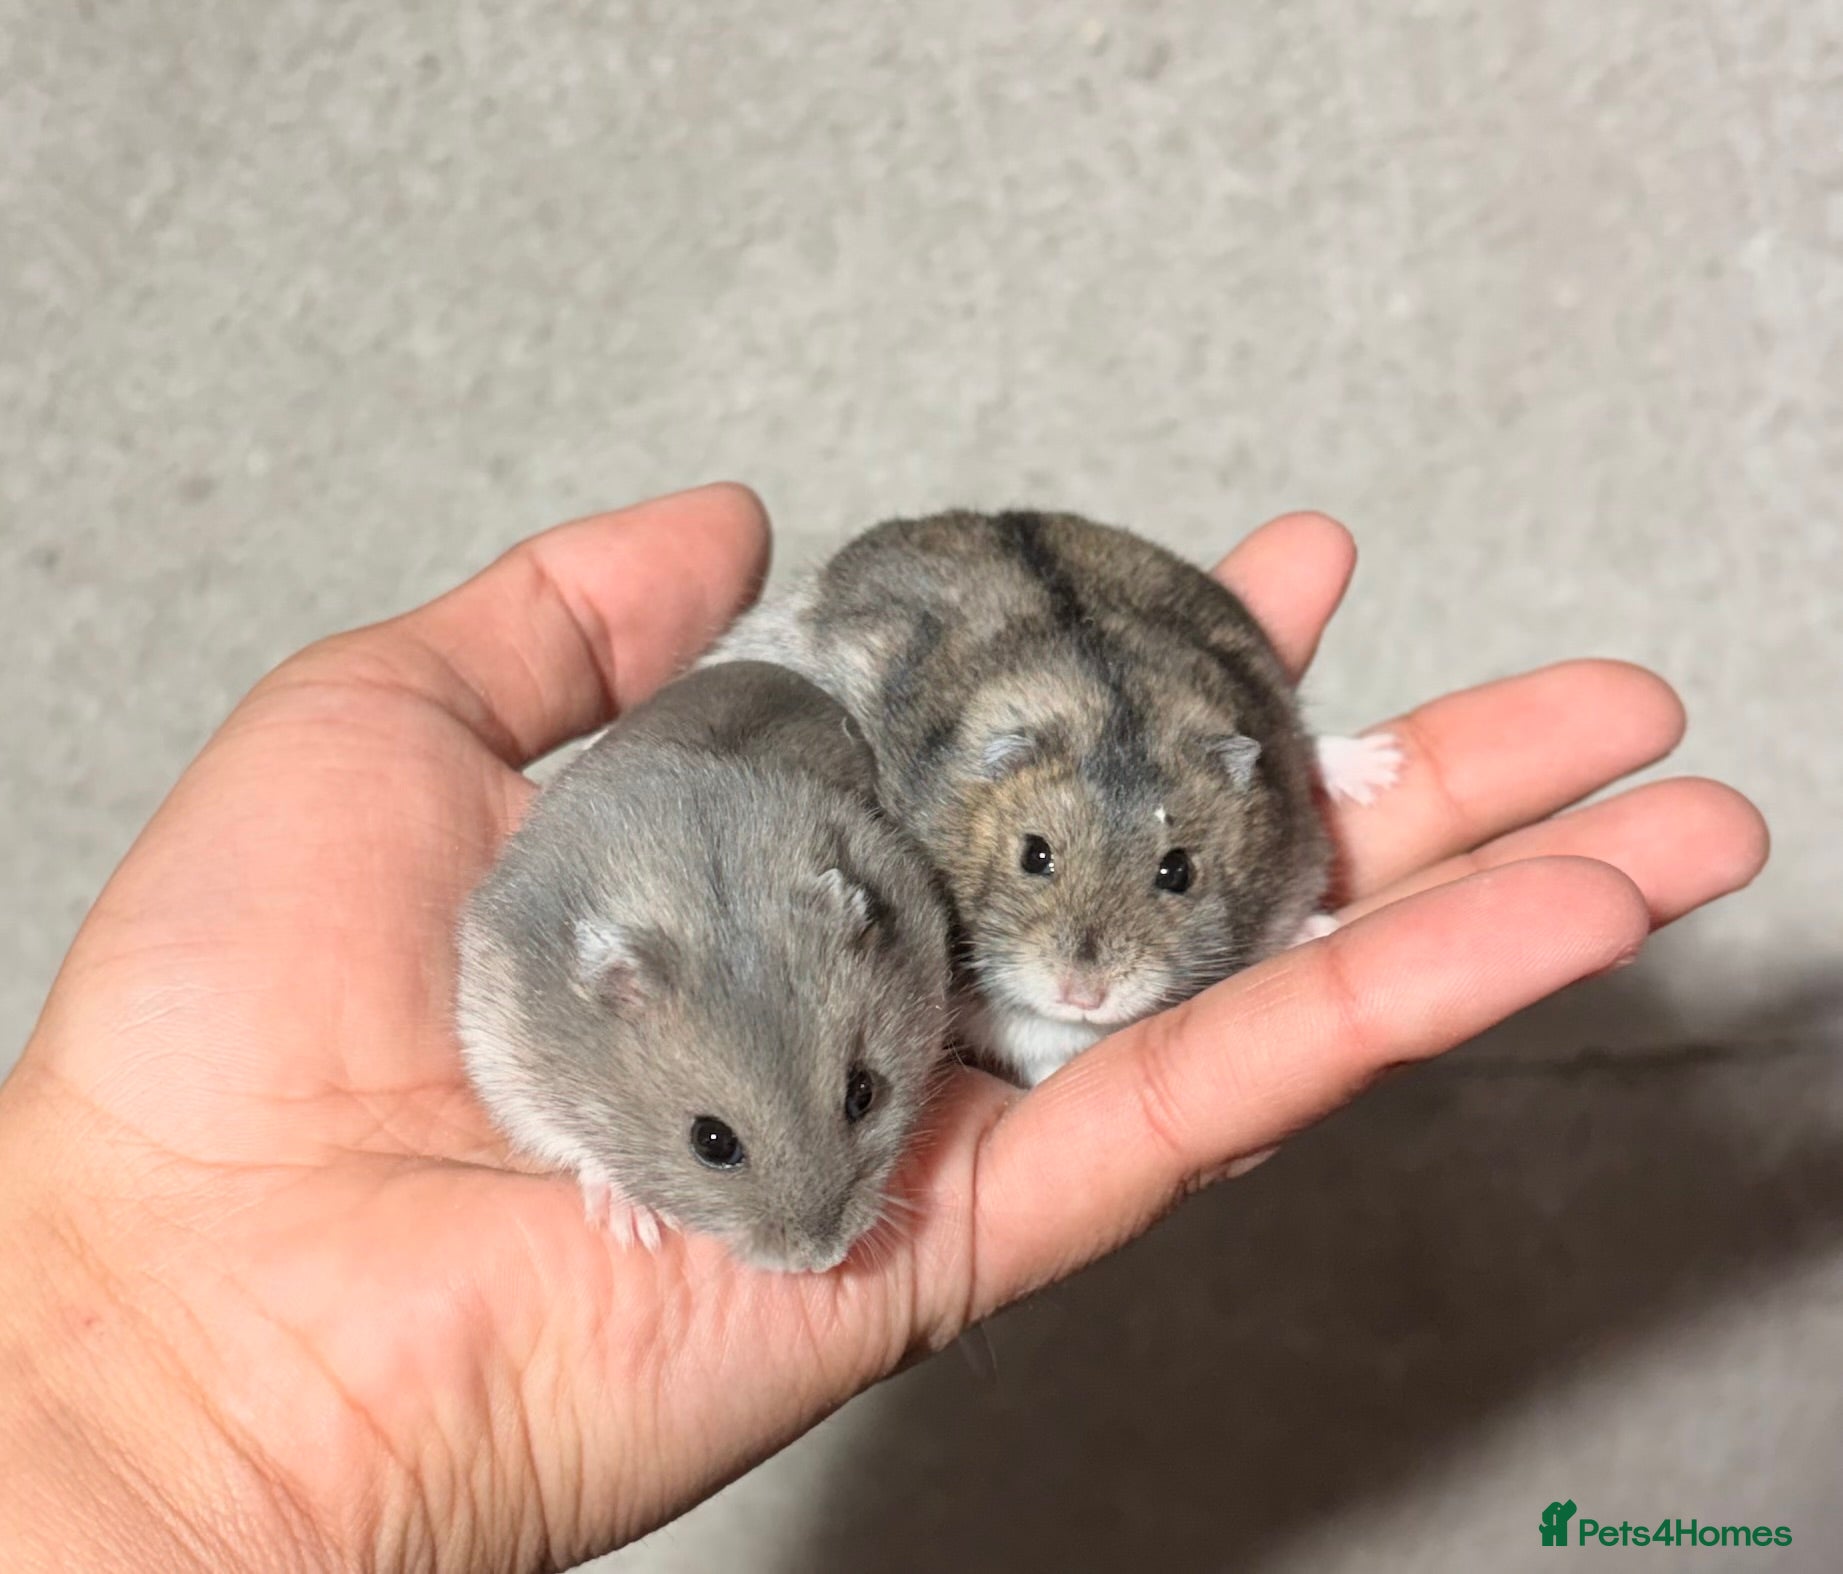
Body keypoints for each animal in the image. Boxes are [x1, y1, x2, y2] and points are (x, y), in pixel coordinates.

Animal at [455, 661, 952, 1273]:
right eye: (711, 1142)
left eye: (864, 1093)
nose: (823, 1259)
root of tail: (761, 667)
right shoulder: (507, 1057)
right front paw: (635, 1228)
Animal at [712, 510, 1399, 1086]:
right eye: (1034, 855)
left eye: (1178, 871)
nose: (1084, 995)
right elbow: (1033, 1039)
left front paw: (1315, 925)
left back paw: (1382, 769)